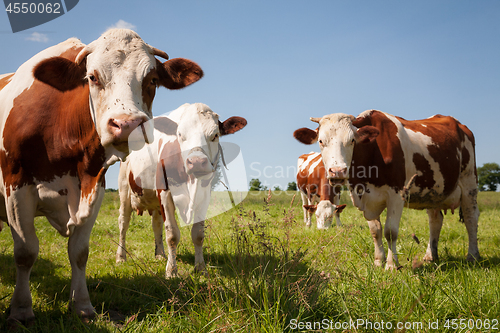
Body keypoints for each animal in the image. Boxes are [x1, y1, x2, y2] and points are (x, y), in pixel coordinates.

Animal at [0, 28, 203, 324]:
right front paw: (21, 310)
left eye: (152, 80)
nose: (127, 125)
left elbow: (79, 253)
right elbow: (26, 252)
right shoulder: (16, 185)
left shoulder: (94, 187)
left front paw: (82, 306)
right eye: (92, 77)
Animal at [117, 103, 250, 278]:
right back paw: (121, 257)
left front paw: (200, 268)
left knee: (156, 224)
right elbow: (172, 235)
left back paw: (160, 254)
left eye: (215, 135)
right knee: (123, 223)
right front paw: (171, 271)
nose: (197, 162)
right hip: (124, 190)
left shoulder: (204, 196)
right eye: (180, 135)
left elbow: (198, 234)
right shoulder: (165, 193)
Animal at [294, 110, 478, 268]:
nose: (337, 171)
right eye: (321, 141)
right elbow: (376, 231)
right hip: (434, 192)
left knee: (471, 217)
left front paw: (391, 265)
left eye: (352, 140)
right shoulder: (365, 197)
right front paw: (378, 262)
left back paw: (472, 256)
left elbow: (390, 231)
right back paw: (430, 256)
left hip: (469, 181)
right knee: (435, 220)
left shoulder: (397, 194)